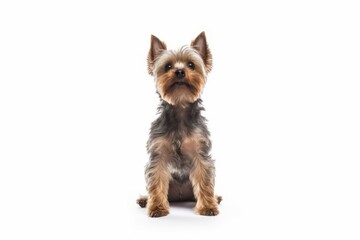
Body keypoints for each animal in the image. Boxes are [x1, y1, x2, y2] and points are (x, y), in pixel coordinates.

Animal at [137, 32, 221, 218]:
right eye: (168, 66)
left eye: (191, 64)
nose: (180, 72)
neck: (180, 107)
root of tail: (181, 197)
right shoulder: (159, 155)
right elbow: (156, 183)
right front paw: (157, 208)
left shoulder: (200, 153)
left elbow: (205, 181)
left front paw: (208, 207)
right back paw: (145, 200)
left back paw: (215, 198)